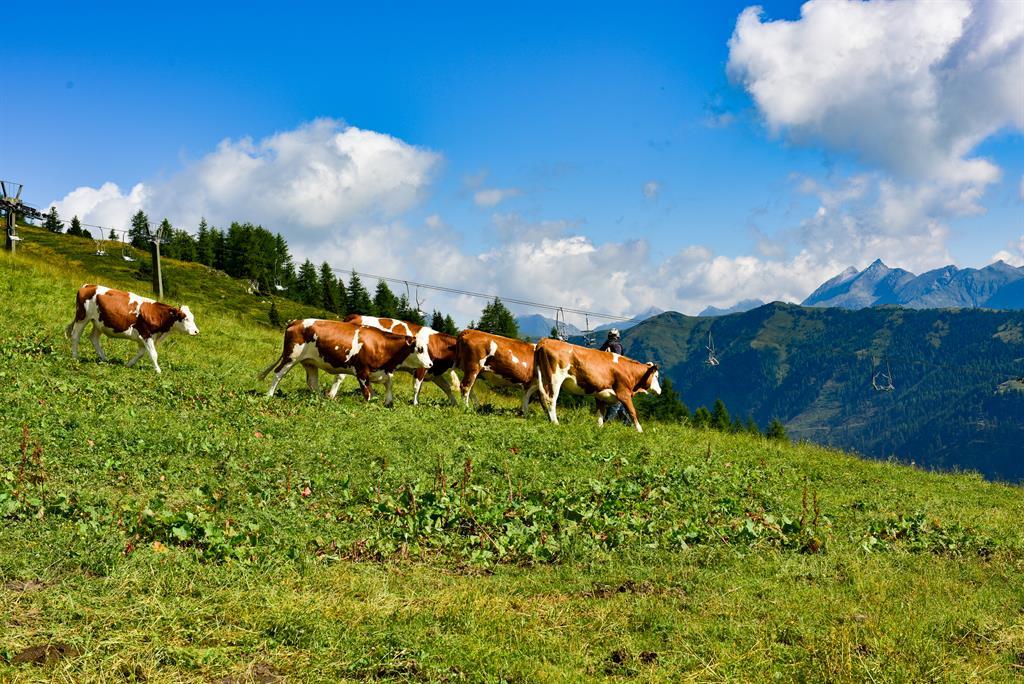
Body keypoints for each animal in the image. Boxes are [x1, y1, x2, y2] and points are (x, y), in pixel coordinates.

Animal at [65, 284, 199, 373]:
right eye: (185, 318)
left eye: (192, 317)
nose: (196, 331)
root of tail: (88, 285)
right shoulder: (146, 333)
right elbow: (153, 354)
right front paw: (158, 371)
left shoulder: (144, 338)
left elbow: (141, 353)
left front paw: (129, 364)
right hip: (82, 317)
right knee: (76, 336)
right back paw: (75, 357)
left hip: (99, 323)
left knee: (93, 338)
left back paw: (104, 358)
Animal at [258, 319, 432, 404]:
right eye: (419, 349)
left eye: (427, 348)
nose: (430, 364)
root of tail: (296, 321)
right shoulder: (362, 371)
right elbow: (368, 393)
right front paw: (370, 405)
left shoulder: (381, 372)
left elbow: (388, 386)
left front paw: (388, 402)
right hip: (291, 356)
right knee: (278, 373)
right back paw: (269, 395)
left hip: (310, 362)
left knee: (312, 382)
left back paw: (321, 399)